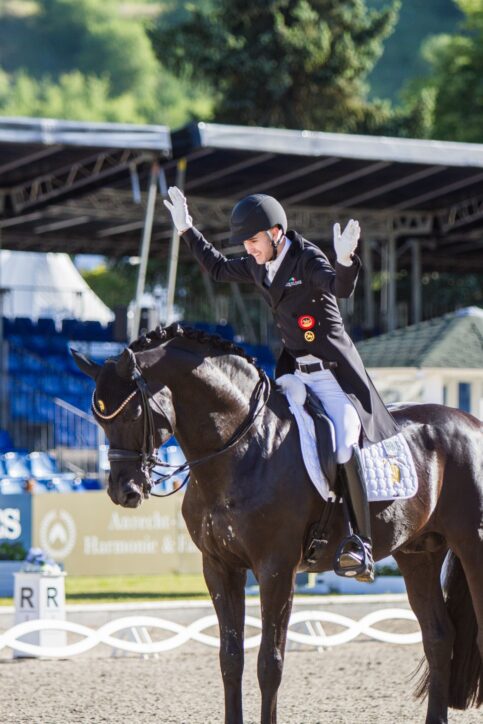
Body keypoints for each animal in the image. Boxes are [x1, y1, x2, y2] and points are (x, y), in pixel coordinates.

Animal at [73, 326, 483, 720]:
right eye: (99, 420)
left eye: (131, 414)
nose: (123, 491)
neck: (242, 450)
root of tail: (473, 422)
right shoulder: (219, 567)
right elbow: (230, 659)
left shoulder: (276, 569)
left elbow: (269, 663)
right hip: (418, 553)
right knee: (438, 637)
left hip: (471, 544)